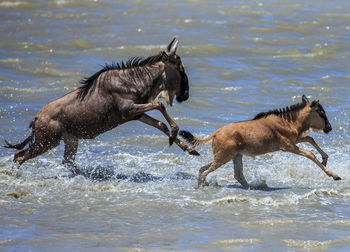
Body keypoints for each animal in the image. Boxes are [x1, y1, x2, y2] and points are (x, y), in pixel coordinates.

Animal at [4, 38, 198, 165]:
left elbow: (160, 124)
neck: (133, 80)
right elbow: (160, 104)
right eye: (180, 68)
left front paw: (189, 148)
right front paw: (175, 134)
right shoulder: (128, 110)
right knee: (19, 155)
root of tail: (36, 119)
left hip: (69, 141)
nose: (186, 94)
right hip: (46, 142)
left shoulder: (136, 114)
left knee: (62, 161)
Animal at [180, 95, 342, 188]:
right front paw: (333, 175)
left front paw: (325, 159)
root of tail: (215, 133)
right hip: (223, 157)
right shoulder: (287, 146)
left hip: (236, 155)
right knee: (203, 170)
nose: (329, 127)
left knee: (237, 174)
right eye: (321, 113)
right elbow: (310, 154)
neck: (288, 121)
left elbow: (310, 138)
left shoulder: (295, 139)